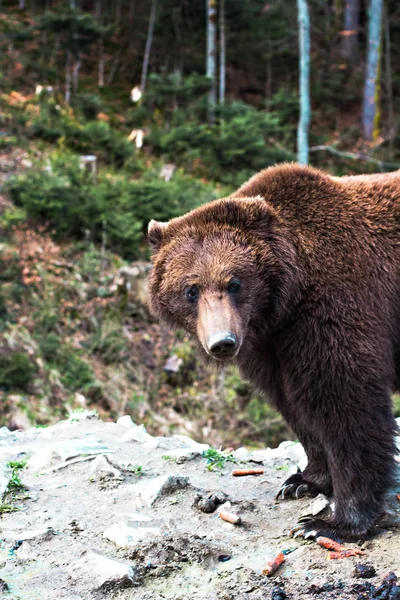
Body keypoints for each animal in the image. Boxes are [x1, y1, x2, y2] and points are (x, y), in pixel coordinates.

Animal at [147, 162, 400, 540]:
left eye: (233, 282)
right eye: (191, 289)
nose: (222, 342)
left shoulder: (338, 305)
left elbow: (346, 403)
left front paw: (331, 523)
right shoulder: (270, 347)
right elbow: (292, 404)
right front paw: (303, 480)